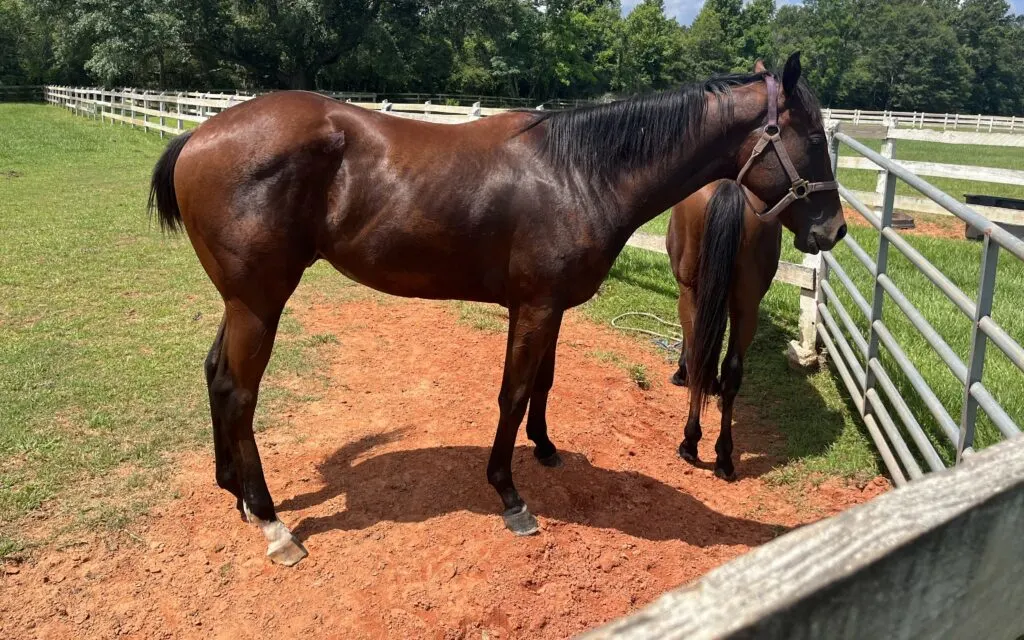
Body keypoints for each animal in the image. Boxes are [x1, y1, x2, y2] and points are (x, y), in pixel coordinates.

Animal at [148, 53, 843, 565]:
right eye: (813, 137)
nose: (833, 230)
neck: (577, 172)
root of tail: (199, 134)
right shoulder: (532, 308)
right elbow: (511, 393)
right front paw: (510, 496)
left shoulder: (552, 307)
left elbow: (543, 383)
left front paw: (546, 447)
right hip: (259, 302)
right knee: (239, 392)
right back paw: (272, 524)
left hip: (242, 300)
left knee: (216, 376)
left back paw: (234, 492)